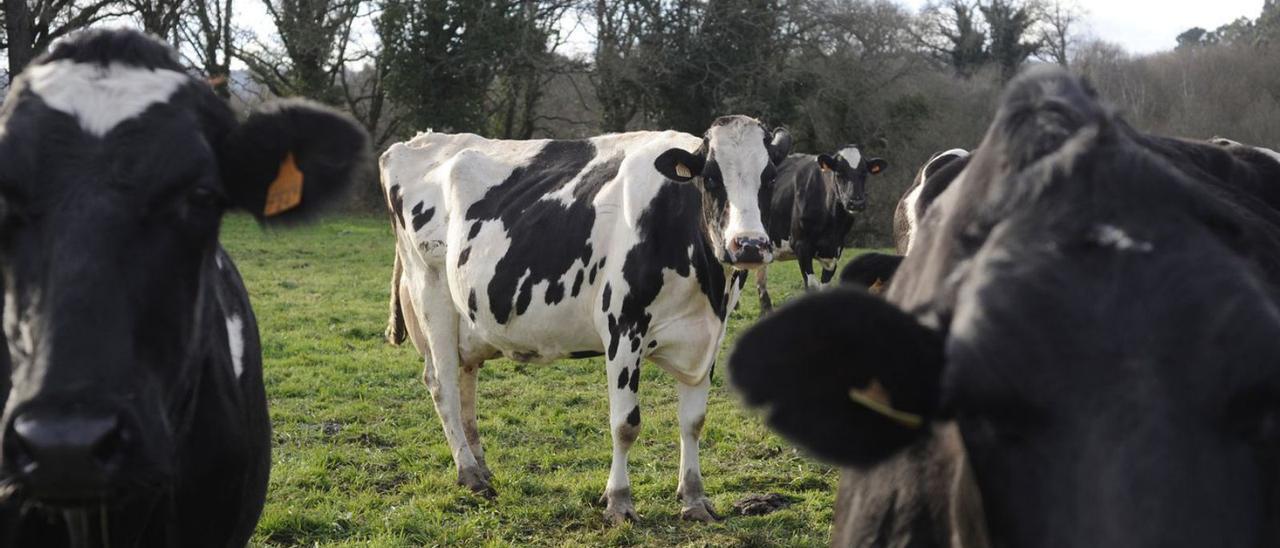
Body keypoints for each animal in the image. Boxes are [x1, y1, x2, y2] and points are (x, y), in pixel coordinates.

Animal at [376, 114, 788, 522]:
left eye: (769, 178)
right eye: (712, 178)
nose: (749, 245)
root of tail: (419, 140)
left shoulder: (706, 336)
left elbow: (693, 421)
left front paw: (694, 498)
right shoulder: (622, 329)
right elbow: (625, 424)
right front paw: (619, 501)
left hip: (469, 317)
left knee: (465, 382)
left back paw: (480, 465)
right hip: (431, 294)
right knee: (442, 383)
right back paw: (470, 473)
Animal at [752, 147, 885, 314]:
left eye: (864, 174)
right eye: (839, 173)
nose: (856, 202)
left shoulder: (835, 250)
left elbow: (825, 287)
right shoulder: (801, 245)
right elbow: (812, 286)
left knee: (761, 282)